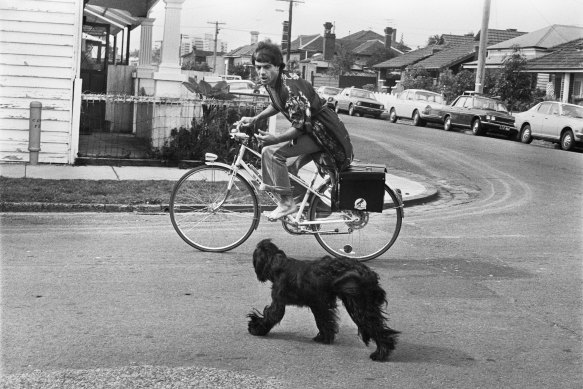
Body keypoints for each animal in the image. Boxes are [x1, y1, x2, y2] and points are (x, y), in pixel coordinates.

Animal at [249, 238, 400, 362]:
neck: (279, 264)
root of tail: (369, 273)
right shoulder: (318, 304)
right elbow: (324, 321)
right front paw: (324, 337)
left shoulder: (278, 303)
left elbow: (270, 315)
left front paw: (255, 328)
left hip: (358, 305)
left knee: (376, 327)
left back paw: (380, 353)